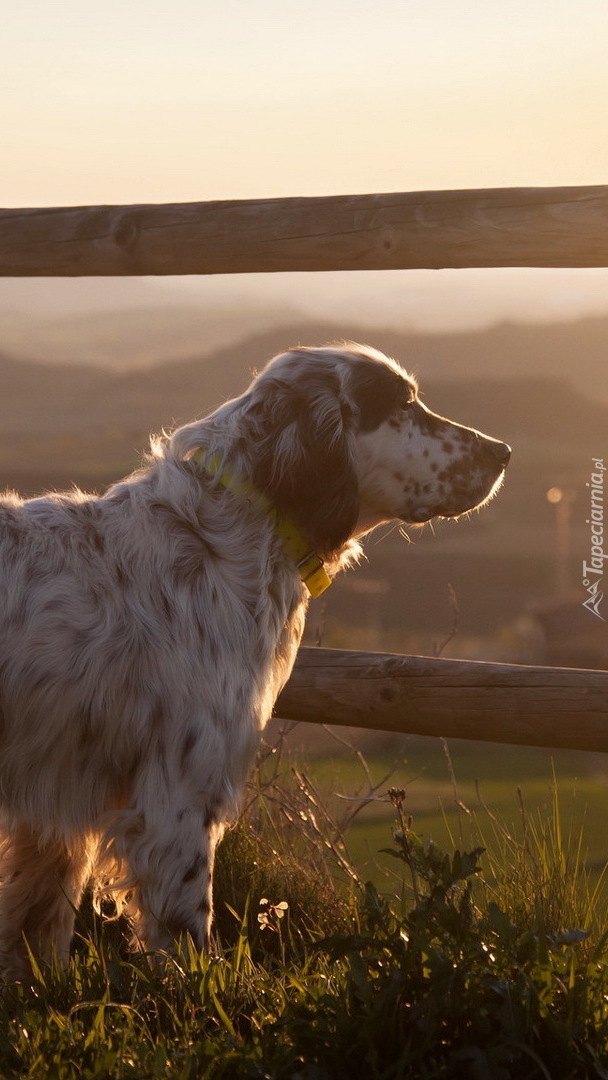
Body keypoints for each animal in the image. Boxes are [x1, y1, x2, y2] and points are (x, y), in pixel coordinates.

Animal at [0, 345, 509, 980]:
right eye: (402, 403)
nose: (503, 452)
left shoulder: (59, 797)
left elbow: (35, 929)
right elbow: (189, 933)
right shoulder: (179, 793)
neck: (230, 533)